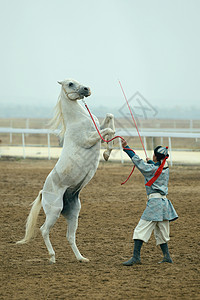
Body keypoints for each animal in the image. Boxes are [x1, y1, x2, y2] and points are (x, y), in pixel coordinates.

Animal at [16, 79, 115, 262]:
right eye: (70, 84)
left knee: (70, 237)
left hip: (73, 213)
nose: (87, 89)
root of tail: (43, 192)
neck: (79, 119)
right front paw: (106, 152)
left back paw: (81, 258)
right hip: (54, 212)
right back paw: (52, 257)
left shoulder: (97, 126)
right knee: (43, 230)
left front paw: (107, 152)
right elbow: (108, 131)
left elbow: (110, 118)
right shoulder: (89, 138)